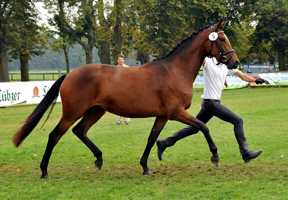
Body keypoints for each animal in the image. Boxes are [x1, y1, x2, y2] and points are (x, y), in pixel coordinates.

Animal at [12, 21, 238, 178]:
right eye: (221, 39)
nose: (235, 62)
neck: (175, 70)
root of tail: (69, 74)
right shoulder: (176, 112)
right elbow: (203, 126)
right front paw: (215, 156)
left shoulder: (163, 116)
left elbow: (151, 139)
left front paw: (145, 167)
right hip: (72, 112)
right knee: (54, 136)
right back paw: (44, 171)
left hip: (96, 110)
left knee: (80, 131)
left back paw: (99, 159)